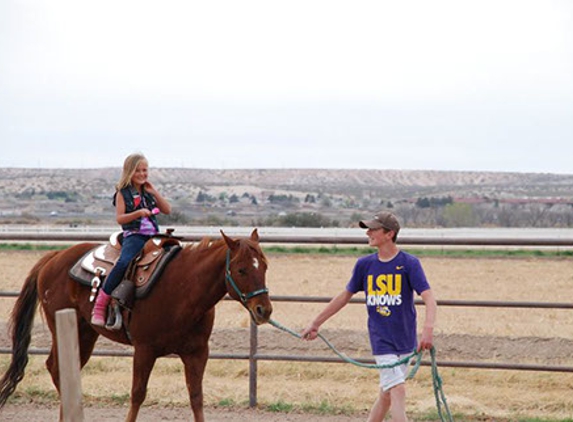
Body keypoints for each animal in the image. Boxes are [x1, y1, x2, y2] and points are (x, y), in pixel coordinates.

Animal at [0, 229, 272, 420]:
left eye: (265, 266)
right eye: (241, 269)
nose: (264, 310)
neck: (183, 288)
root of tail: (54, 256)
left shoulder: (197, 353)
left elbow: (196, 397)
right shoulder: (144, 350)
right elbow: (137, 395)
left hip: (85, 334)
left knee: (65, 370)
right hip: (65, 329)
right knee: (56, 368)